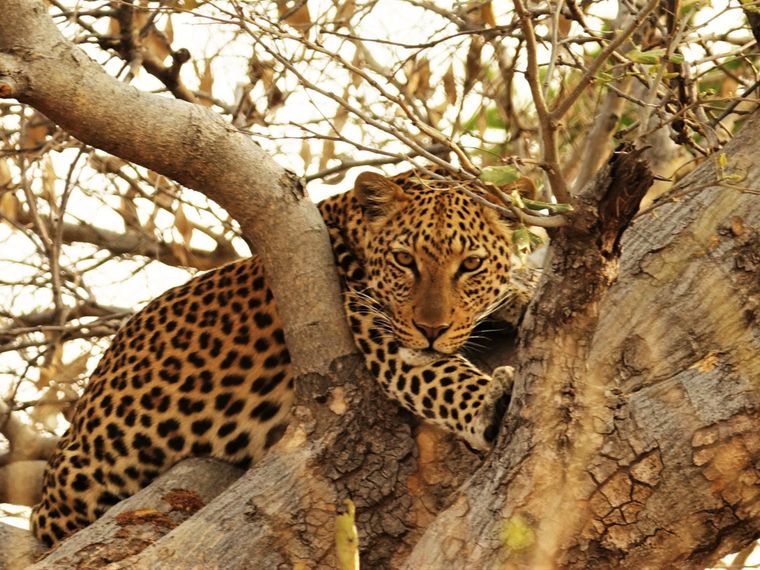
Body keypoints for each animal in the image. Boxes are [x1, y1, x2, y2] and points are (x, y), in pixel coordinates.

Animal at [30, 166, 529, 547]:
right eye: (405, 260)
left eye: (470, 265)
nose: (431, 329)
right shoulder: (381, 333)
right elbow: (444, 378)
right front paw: (491, 402)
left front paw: (519, 296)